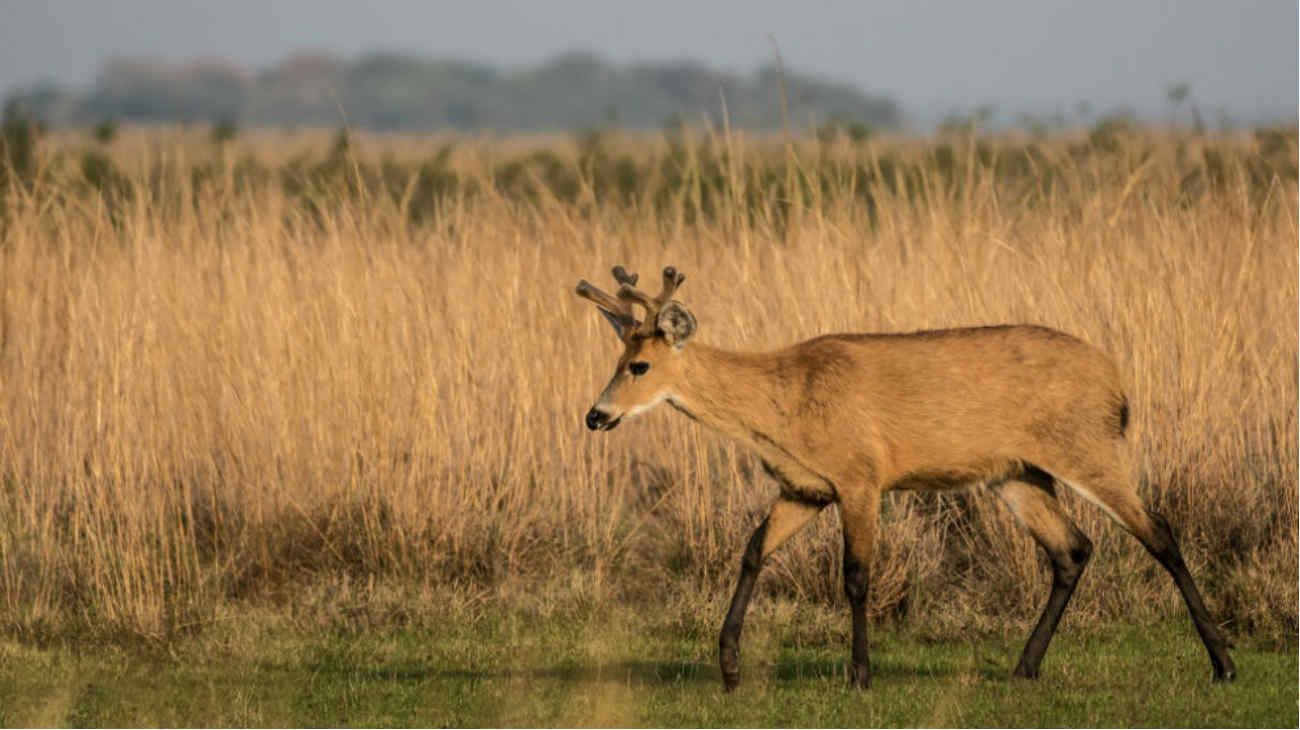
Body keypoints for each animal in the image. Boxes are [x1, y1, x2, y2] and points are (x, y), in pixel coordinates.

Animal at [574, 263, 1232, 685]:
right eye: (617, 358)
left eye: (639, 365)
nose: (595, 415)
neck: (782, 403)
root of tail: (1117, 382)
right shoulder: (804, 487)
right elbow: (754, 550)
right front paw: (729, 668)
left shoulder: (861, 476)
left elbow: (856, 577)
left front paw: (860, 675)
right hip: (1018, 475)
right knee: (1072, 549)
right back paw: (1024, 668)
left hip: (1087, 446)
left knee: (1159, 532)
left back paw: (1223, 663)